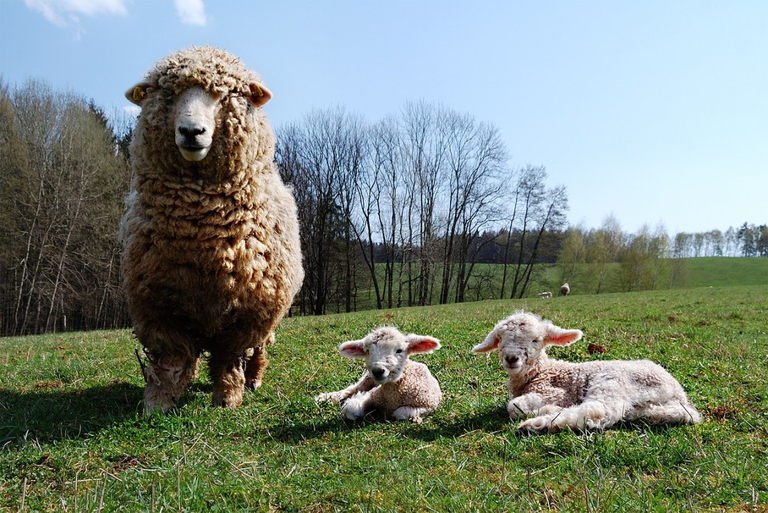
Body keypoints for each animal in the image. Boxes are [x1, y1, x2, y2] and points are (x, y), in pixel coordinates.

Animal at [122, 46, 303, 414]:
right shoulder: (156, 305)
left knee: (258, 350)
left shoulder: (249, 311)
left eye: (223, 95)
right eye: (169, 94)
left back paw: (253, 379)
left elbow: (228, 358)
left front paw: (228, 397)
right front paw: (158, 402)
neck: (201, 233)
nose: (192, 131)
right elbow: (171, 357)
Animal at [472, 311, 701, 433]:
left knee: (597, 411)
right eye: (500, 340)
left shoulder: (555, 392)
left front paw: (536, 409)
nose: (512, 358)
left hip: (612, 381)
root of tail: (678, 393)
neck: (543, 371)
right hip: (647, 407)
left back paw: (538, 422)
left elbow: (514, 406)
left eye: (535, 340)